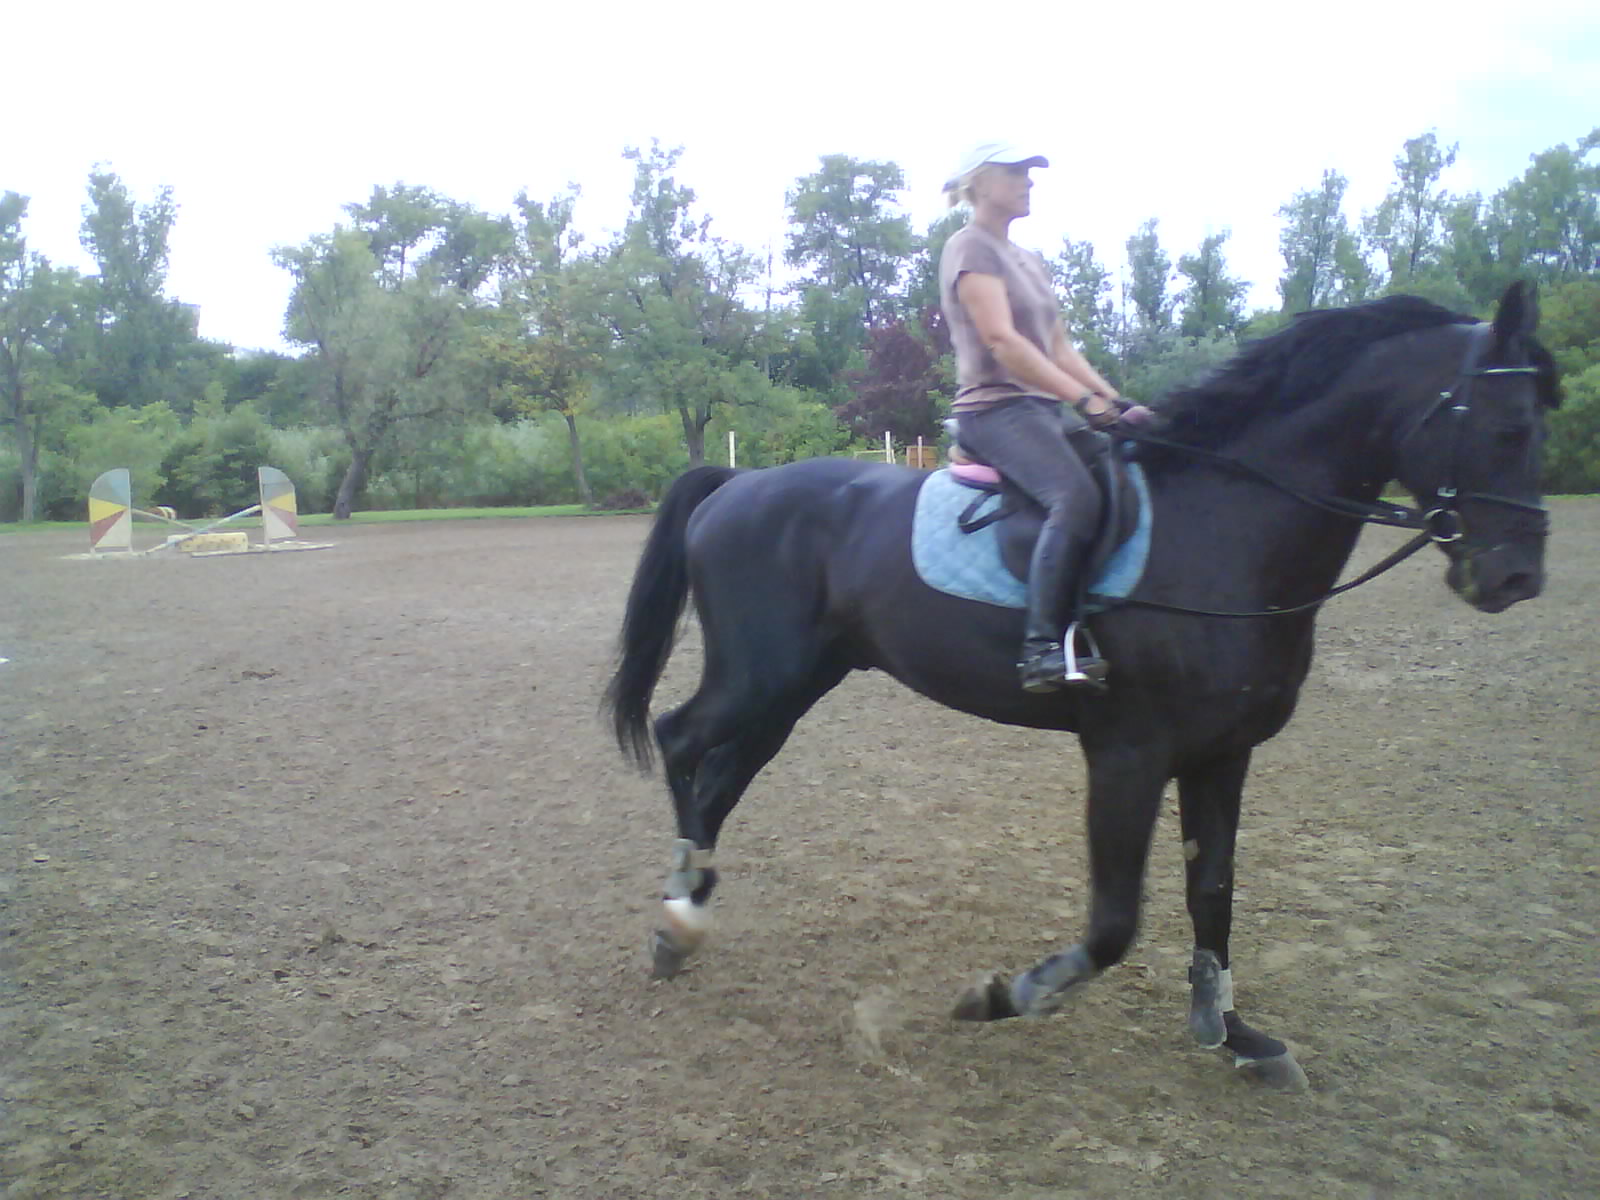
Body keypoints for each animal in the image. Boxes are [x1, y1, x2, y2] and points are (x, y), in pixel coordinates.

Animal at [603, 282, 1560, 1090]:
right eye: (1508, 427)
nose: (1517, 579)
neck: (1223, 531)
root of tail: (740, 484)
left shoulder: (1223, 756)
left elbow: (1213, 891)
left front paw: (1234, 1032)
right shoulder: (1129, 755)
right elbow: (1113, 923)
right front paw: (1006, 995)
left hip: (798, 684)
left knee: (722, 776)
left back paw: (687, 913)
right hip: (760, 675)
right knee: (683, 740)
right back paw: (679, 915)